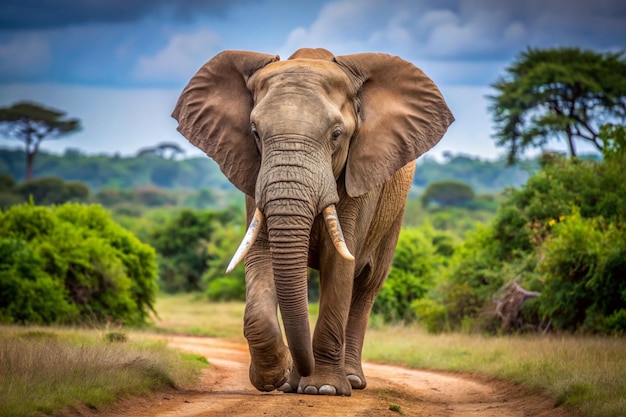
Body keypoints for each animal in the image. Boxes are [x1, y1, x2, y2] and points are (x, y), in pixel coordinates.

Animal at [172, 47, 454, 394]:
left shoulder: (358, 177)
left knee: (367, 285)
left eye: (336, 135)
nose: (295, 373)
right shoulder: (254, 176)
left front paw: (324, 389)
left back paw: (351, 380)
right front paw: (275, 378)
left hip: (394, 213)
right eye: (255, 133)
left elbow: (340, 262)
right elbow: (261, 254)